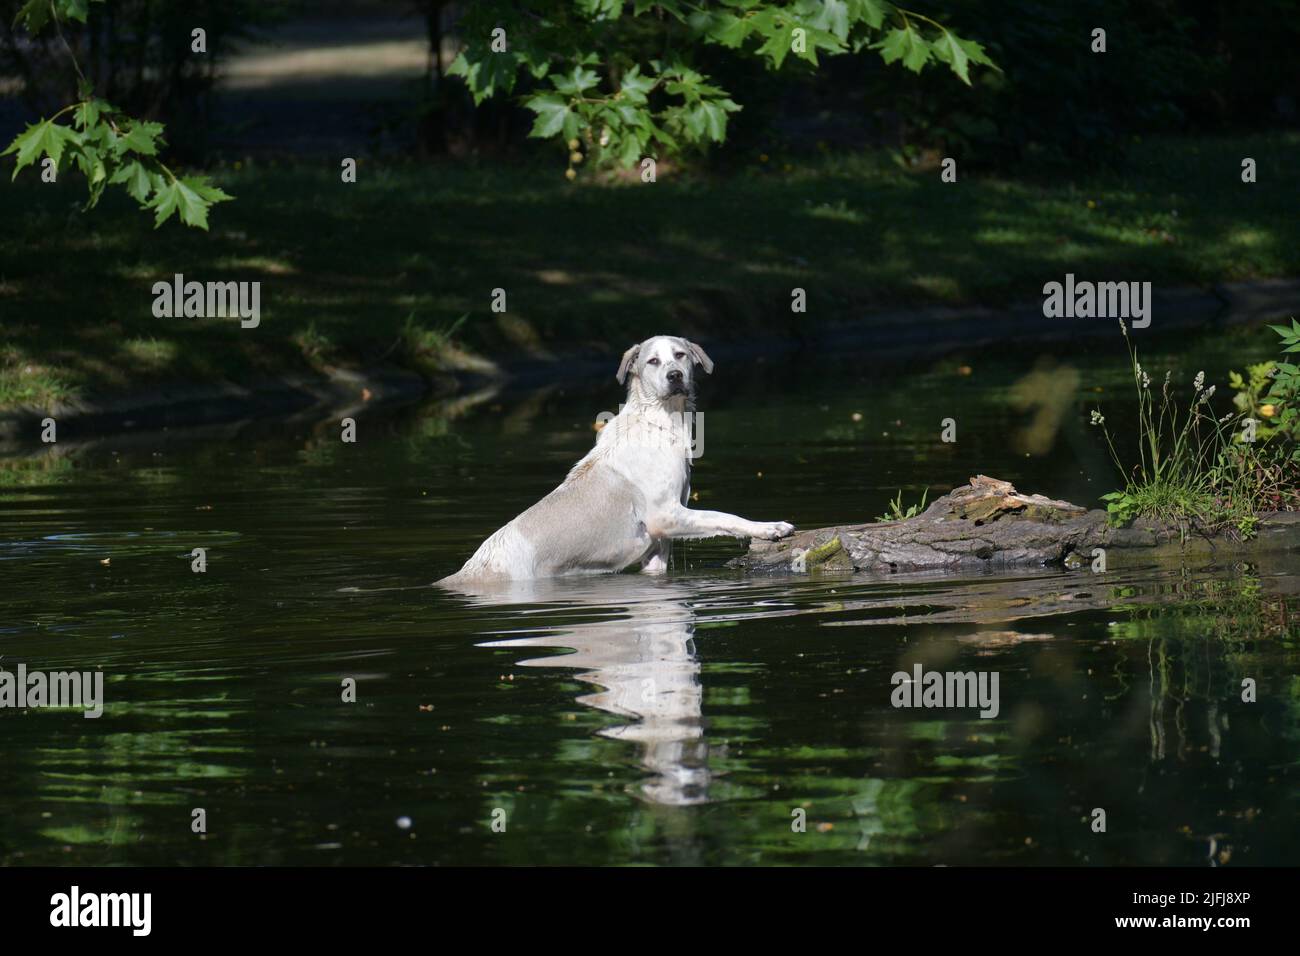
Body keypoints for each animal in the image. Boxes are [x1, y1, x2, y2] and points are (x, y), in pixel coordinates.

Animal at [439, 335, 790, 582]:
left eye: (680, 355)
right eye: (652, 361)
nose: (675, 376)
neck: (659, 421)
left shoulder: (658, 546)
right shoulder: (666, 516)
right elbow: (724, 517)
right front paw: (769, 527)